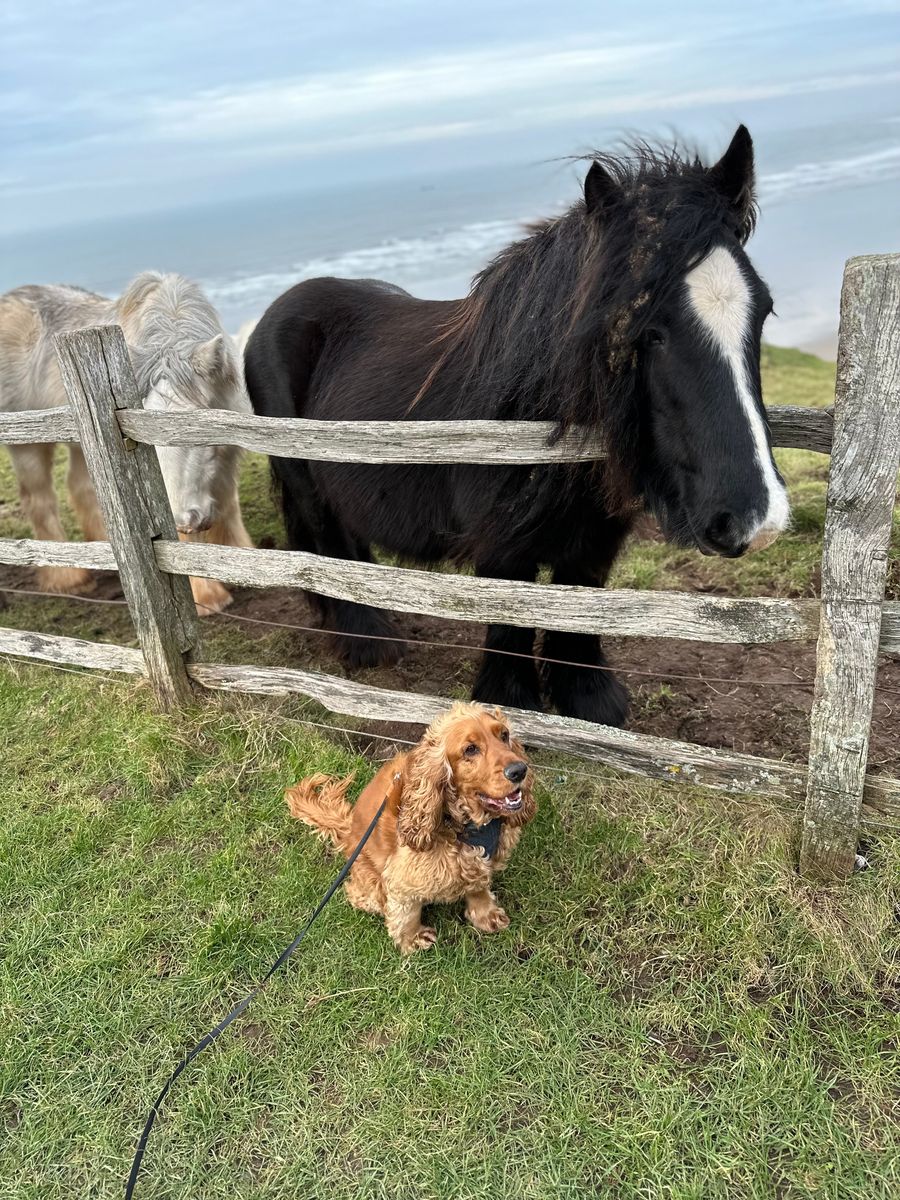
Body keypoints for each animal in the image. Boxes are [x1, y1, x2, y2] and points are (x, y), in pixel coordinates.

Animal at [0, 272, 253, 614]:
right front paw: (207, 595)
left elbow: (228, 505)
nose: (186, 520)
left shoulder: (226, 455)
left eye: (196, 433)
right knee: (39, 499)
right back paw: (68, 579)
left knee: (79, 488)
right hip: (27, 446)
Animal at [243, 126, 790, 725]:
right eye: (646, 328)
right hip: (303, 475)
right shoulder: (503, 550)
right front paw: (509, 701)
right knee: (328, 546)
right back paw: (369, 642)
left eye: (763, 310)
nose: (753, 518)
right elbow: (510, 621)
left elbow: (580, 613)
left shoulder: (596, 542)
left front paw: (587, 700)